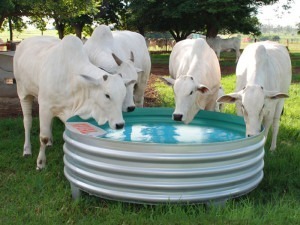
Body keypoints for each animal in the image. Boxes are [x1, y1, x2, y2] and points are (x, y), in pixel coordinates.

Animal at [14, 35, 127, 169]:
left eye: (123, 95)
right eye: (107, 95)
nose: (120, 125)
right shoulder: (45, 107)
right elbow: (43, 137)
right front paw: (40, 163)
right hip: (23, 93)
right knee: (27, 122)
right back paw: (27, 150)